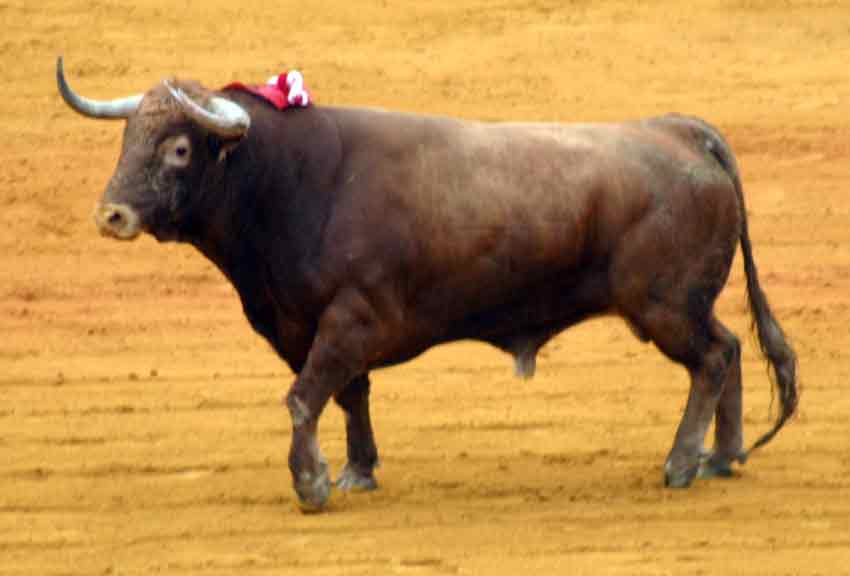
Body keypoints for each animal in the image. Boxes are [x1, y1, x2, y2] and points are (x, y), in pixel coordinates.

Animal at [54, 56, 796, 510]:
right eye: (126, 140)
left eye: (179, 148)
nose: (110, 214)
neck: (288, 180)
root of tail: (681, 133)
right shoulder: (311, 326)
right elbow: (347, 397)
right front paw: (356, 471)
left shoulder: (350, 319)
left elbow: (303, 399)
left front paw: (312, 483)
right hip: (683, 306)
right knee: (730, 351)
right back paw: (721, 457)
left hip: (663, 307)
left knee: (713, 359)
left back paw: (682, 463)